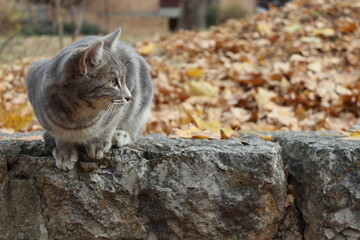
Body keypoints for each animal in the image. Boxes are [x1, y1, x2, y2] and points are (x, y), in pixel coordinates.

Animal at [25, 28, 153, 171]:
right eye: (113, 82)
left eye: (123, 80)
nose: (129, 97)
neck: (77, 118)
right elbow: (61, 135)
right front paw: (65, 151)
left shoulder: (130, 82)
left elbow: (110, 124)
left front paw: (98, 143)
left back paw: (121, 134)